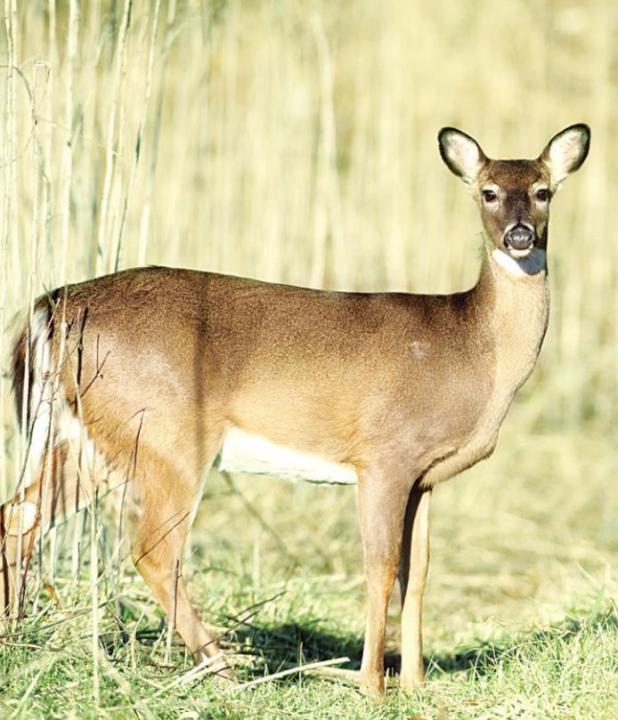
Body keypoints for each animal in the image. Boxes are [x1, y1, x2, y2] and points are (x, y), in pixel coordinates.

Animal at [0, 124, 590, 695]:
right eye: (487, 192)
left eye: (543, 191)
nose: (520, 235)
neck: (471, 349)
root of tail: (50, 309)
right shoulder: (385, 454)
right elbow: (380, 567)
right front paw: (373, 685)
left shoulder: (424, 477)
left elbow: (417, 573)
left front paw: (418, 686)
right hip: (168, 436)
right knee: (152, 551)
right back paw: (225, 669)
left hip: (92, 435)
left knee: (20, 515)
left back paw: (17, 634)